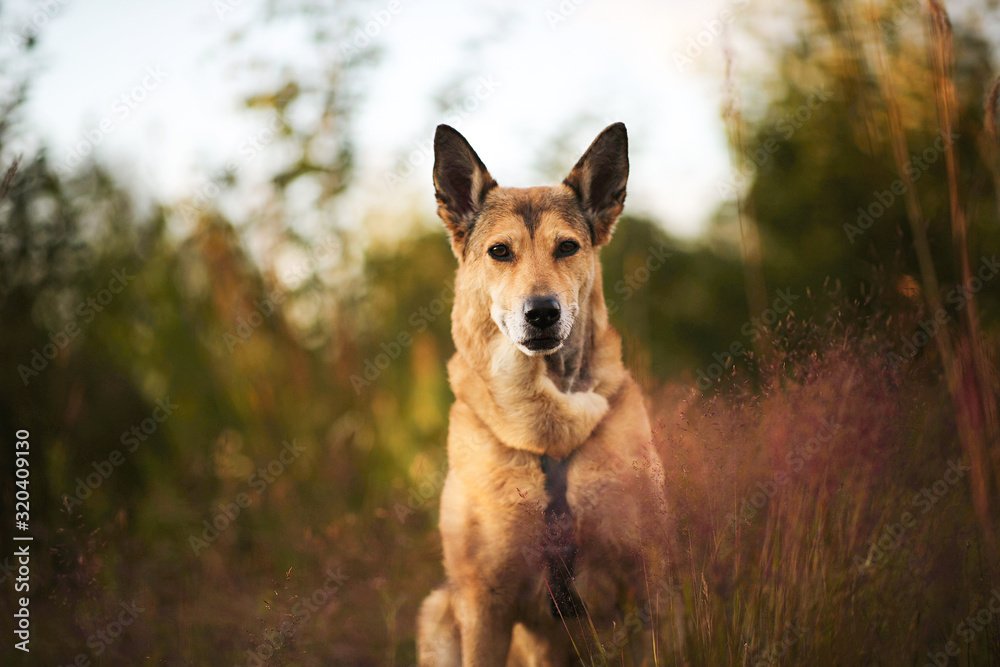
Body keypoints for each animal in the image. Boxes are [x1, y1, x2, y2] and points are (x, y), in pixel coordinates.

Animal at [418, 122, 668, 664]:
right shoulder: (483, 603)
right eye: (499, 251)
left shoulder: (647, 580)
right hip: (437, 612)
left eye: (568, 247)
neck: (545, 425)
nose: (542, 312)